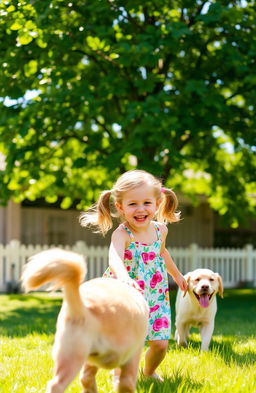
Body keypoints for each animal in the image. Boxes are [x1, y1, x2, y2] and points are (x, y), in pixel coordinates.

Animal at [22, 248, 150, 392]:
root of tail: (83, 307)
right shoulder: (133, 355)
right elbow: (126, 383)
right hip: (80, 356)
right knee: (58, 385)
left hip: (71, 354)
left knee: (82, 379)